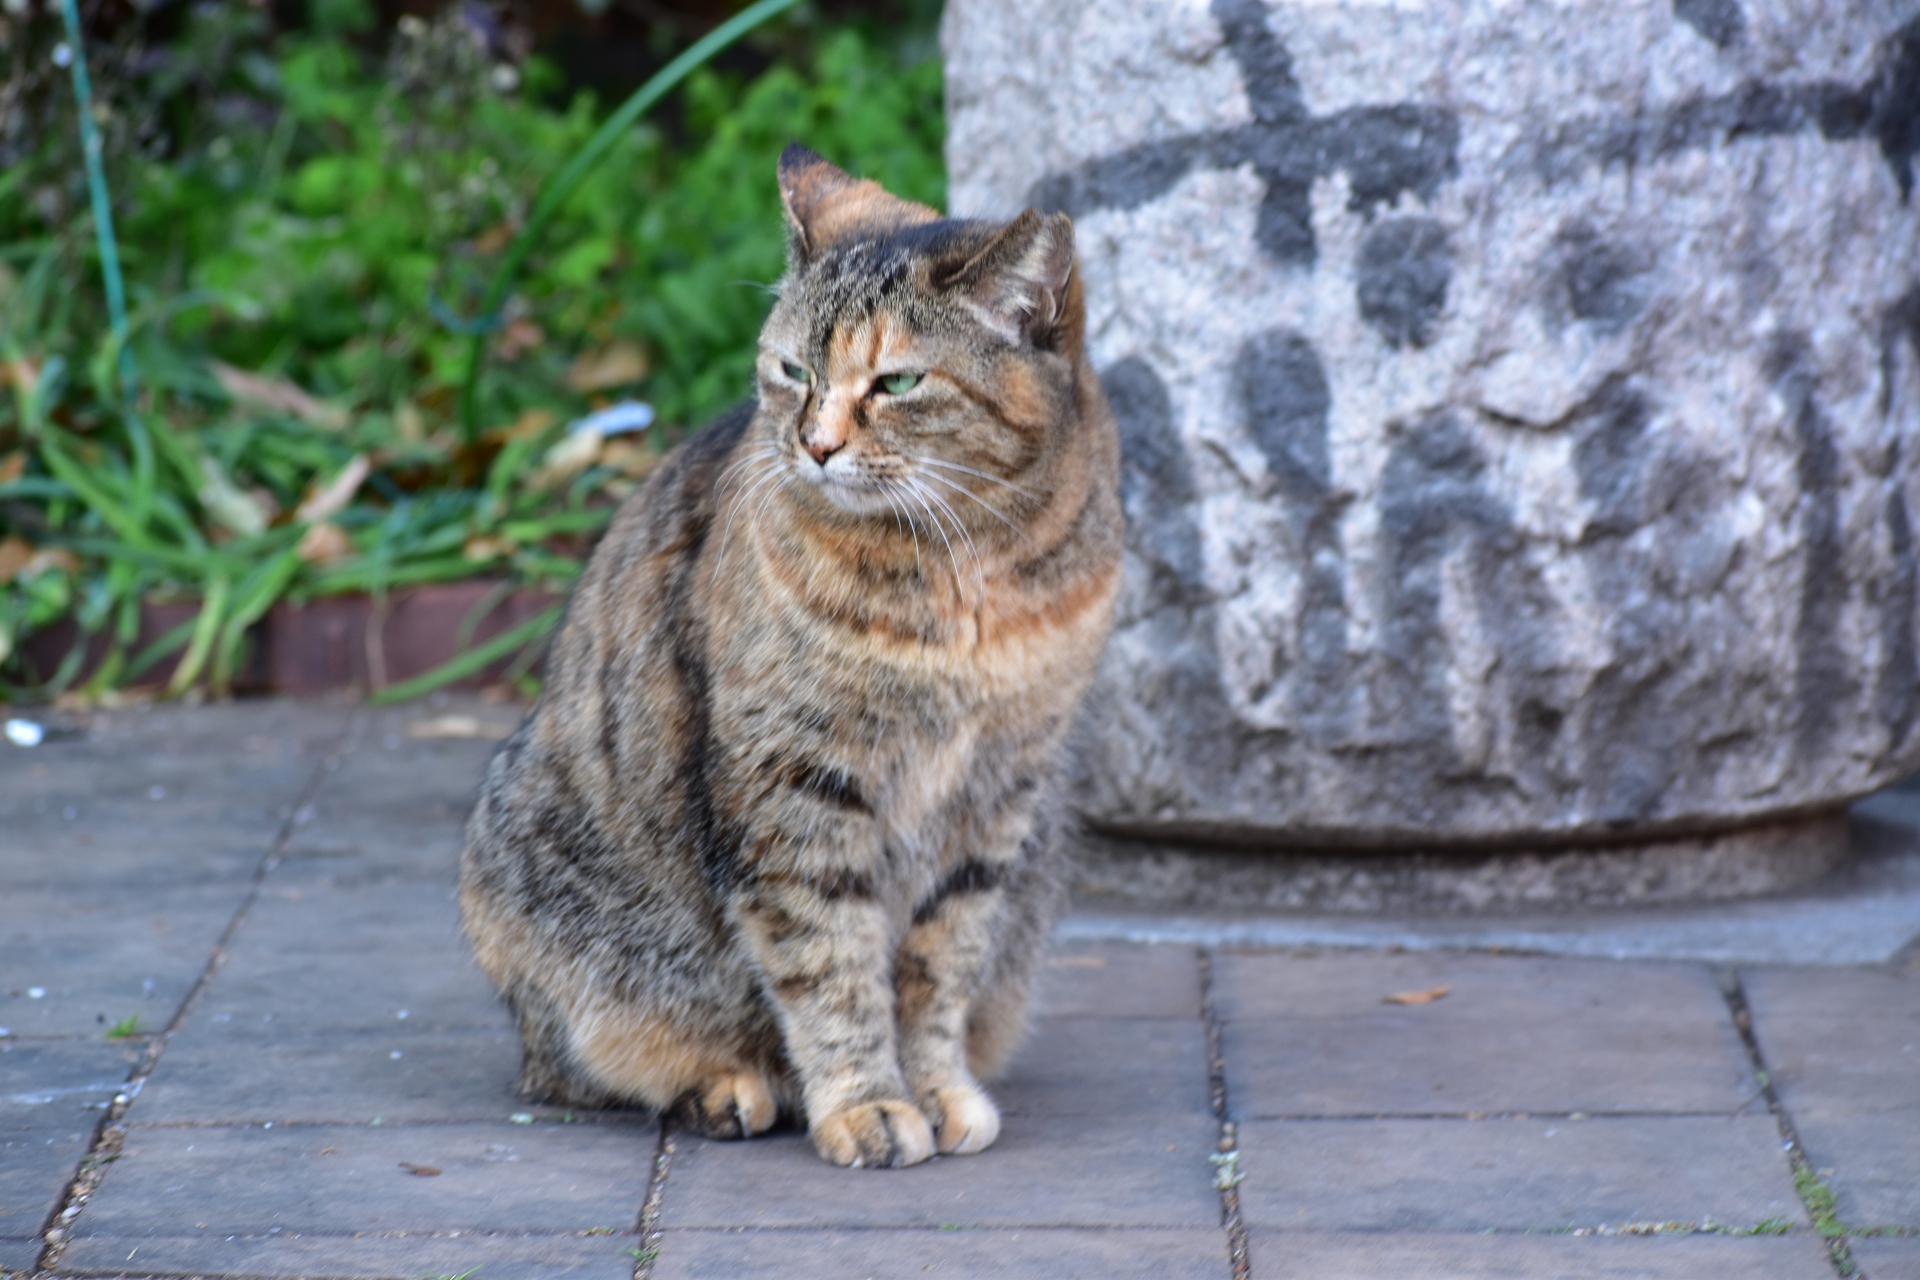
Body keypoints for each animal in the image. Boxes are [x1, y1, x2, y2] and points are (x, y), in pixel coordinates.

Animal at [460, 147, 1121, 1174]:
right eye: (793, 369)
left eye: (897, 384)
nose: (815, 445)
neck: (971, 578)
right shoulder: (794, 783)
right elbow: (830, 960)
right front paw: (866, 1102)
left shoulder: (1000, 795)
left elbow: (940, 963)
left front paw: (935, 1085)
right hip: (528, 873)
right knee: (575, 1064)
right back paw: (724, 1084)